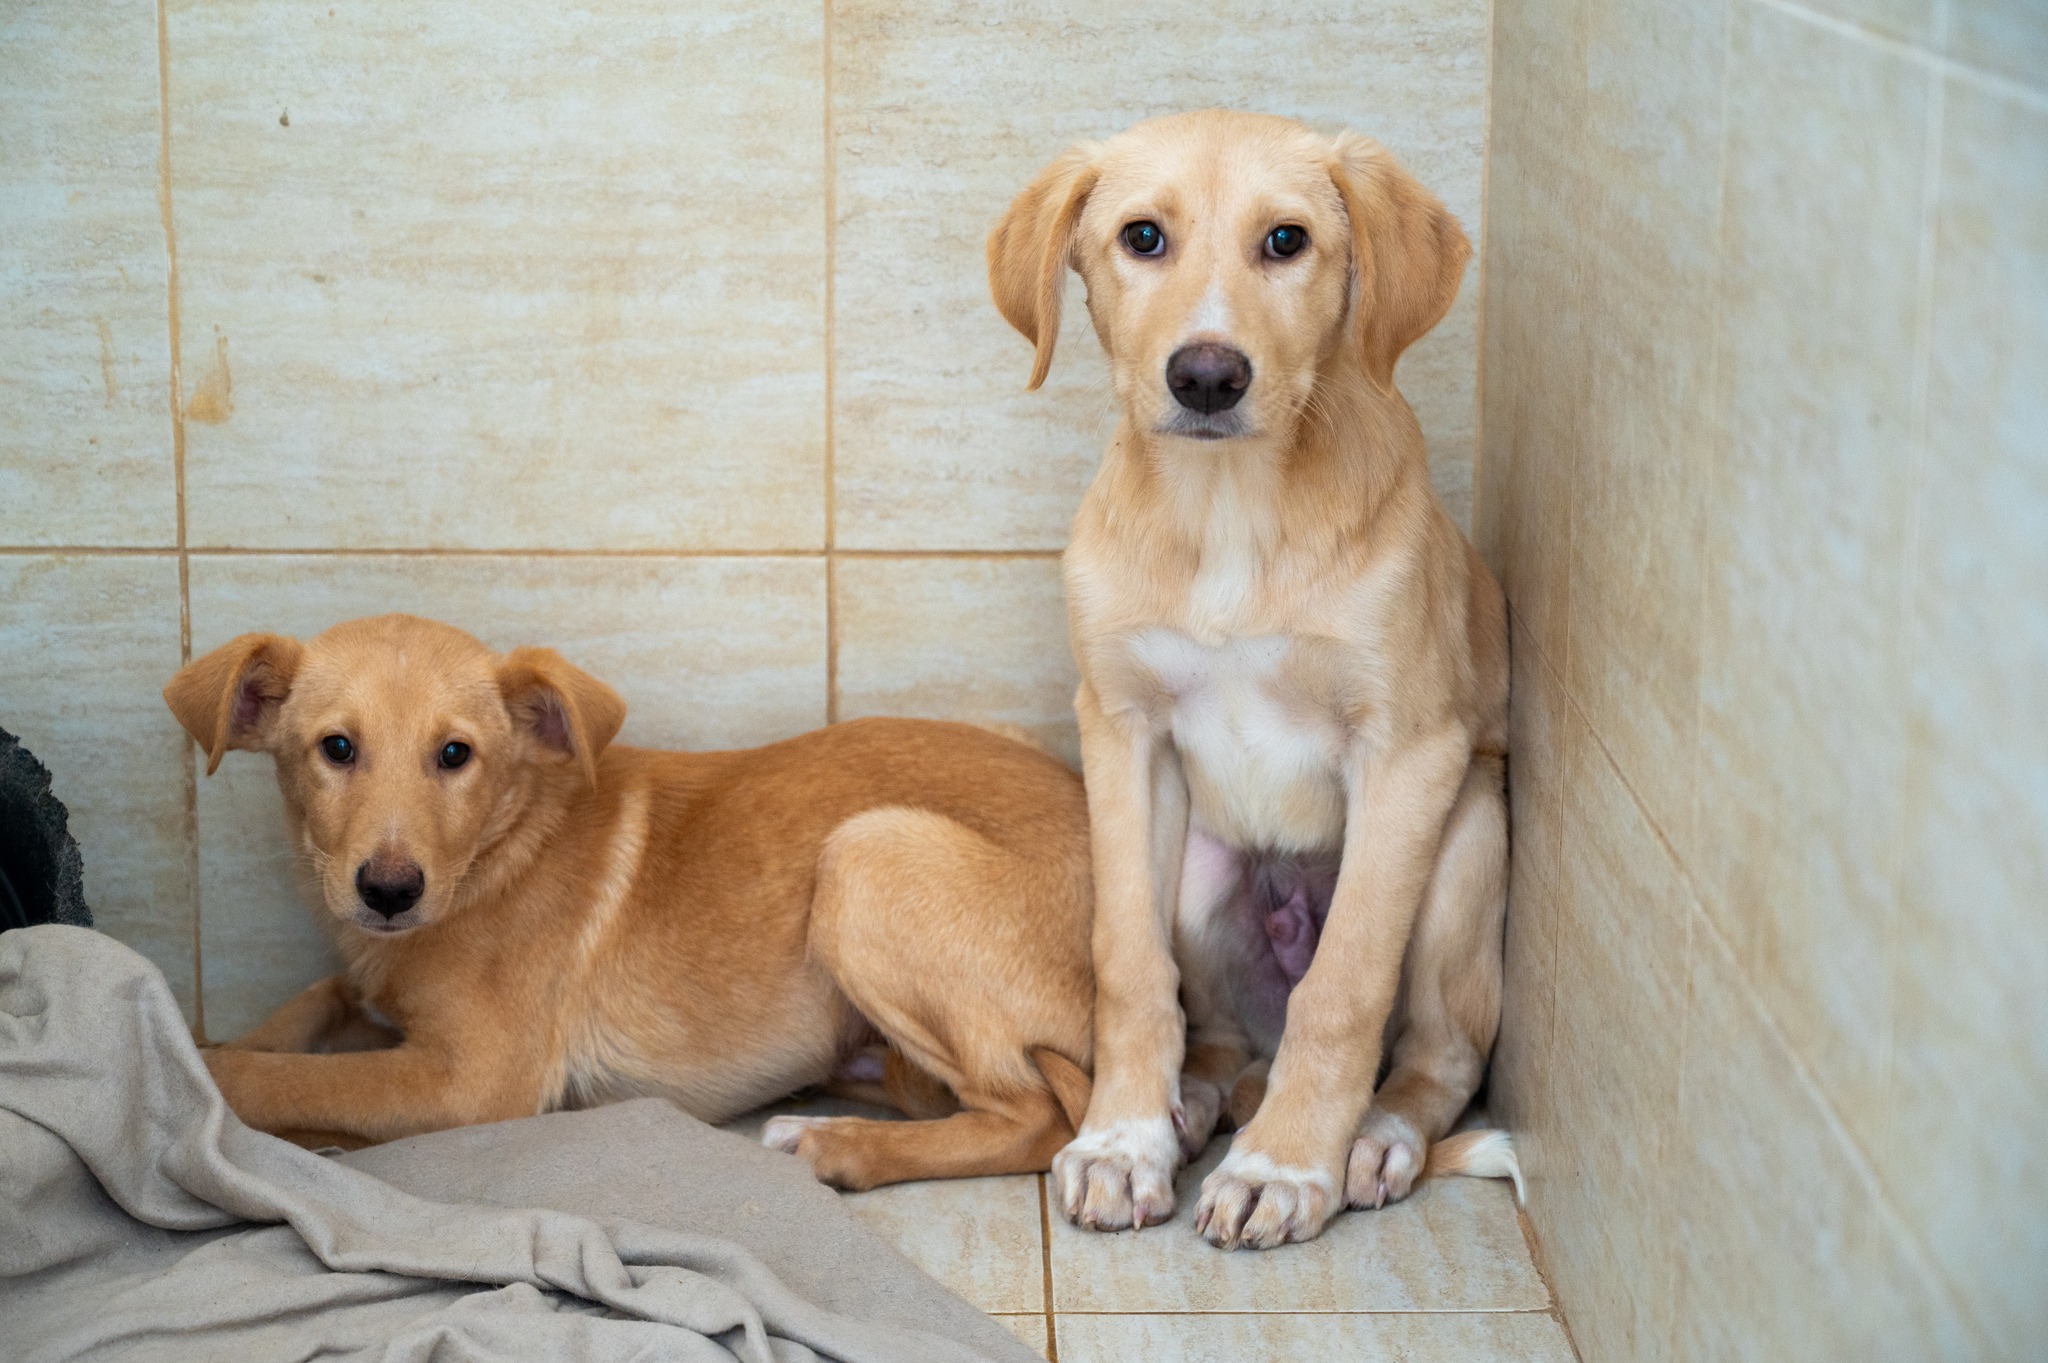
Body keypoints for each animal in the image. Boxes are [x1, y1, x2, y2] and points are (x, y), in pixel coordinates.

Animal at [165, 613, 1095, 1189]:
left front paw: (199, 1076)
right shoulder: (370, 991)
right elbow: (306, 1006)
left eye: (455, 754)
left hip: (866, 858)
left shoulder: (471, 1083)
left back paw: (838, 1146)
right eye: (336, 748)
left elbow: (285, 1078)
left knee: (1035, 1119)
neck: (500, 848)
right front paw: (212, 1039)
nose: (389, 891)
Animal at [988, 110, 1515, 1248]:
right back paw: (1187, 1104)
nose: (1205, 376)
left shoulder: (1410, 750)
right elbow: (1126, 963)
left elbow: (1345, 985)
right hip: (1198, 863)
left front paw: (1284, 1163)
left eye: (1287, 241)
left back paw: (1371, 1137)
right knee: (1223, 1039)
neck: (1226, 506)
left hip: (1464, 842)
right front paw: (1121, 1139)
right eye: (1142, 237)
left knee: (1435, 1054)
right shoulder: (1122, 731)